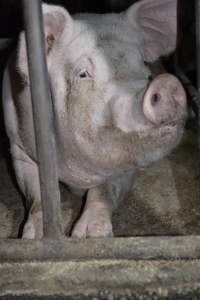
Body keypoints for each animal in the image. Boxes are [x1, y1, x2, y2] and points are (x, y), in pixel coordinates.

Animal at [2, 0, 188, 239]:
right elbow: (36, 193)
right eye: (83, 74)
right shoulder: (19, 148)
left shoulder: (125, 167)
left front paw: (91, 235)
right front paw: (34, 237)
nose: (166, 83)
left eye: (145, 68)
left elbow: (104, 191)